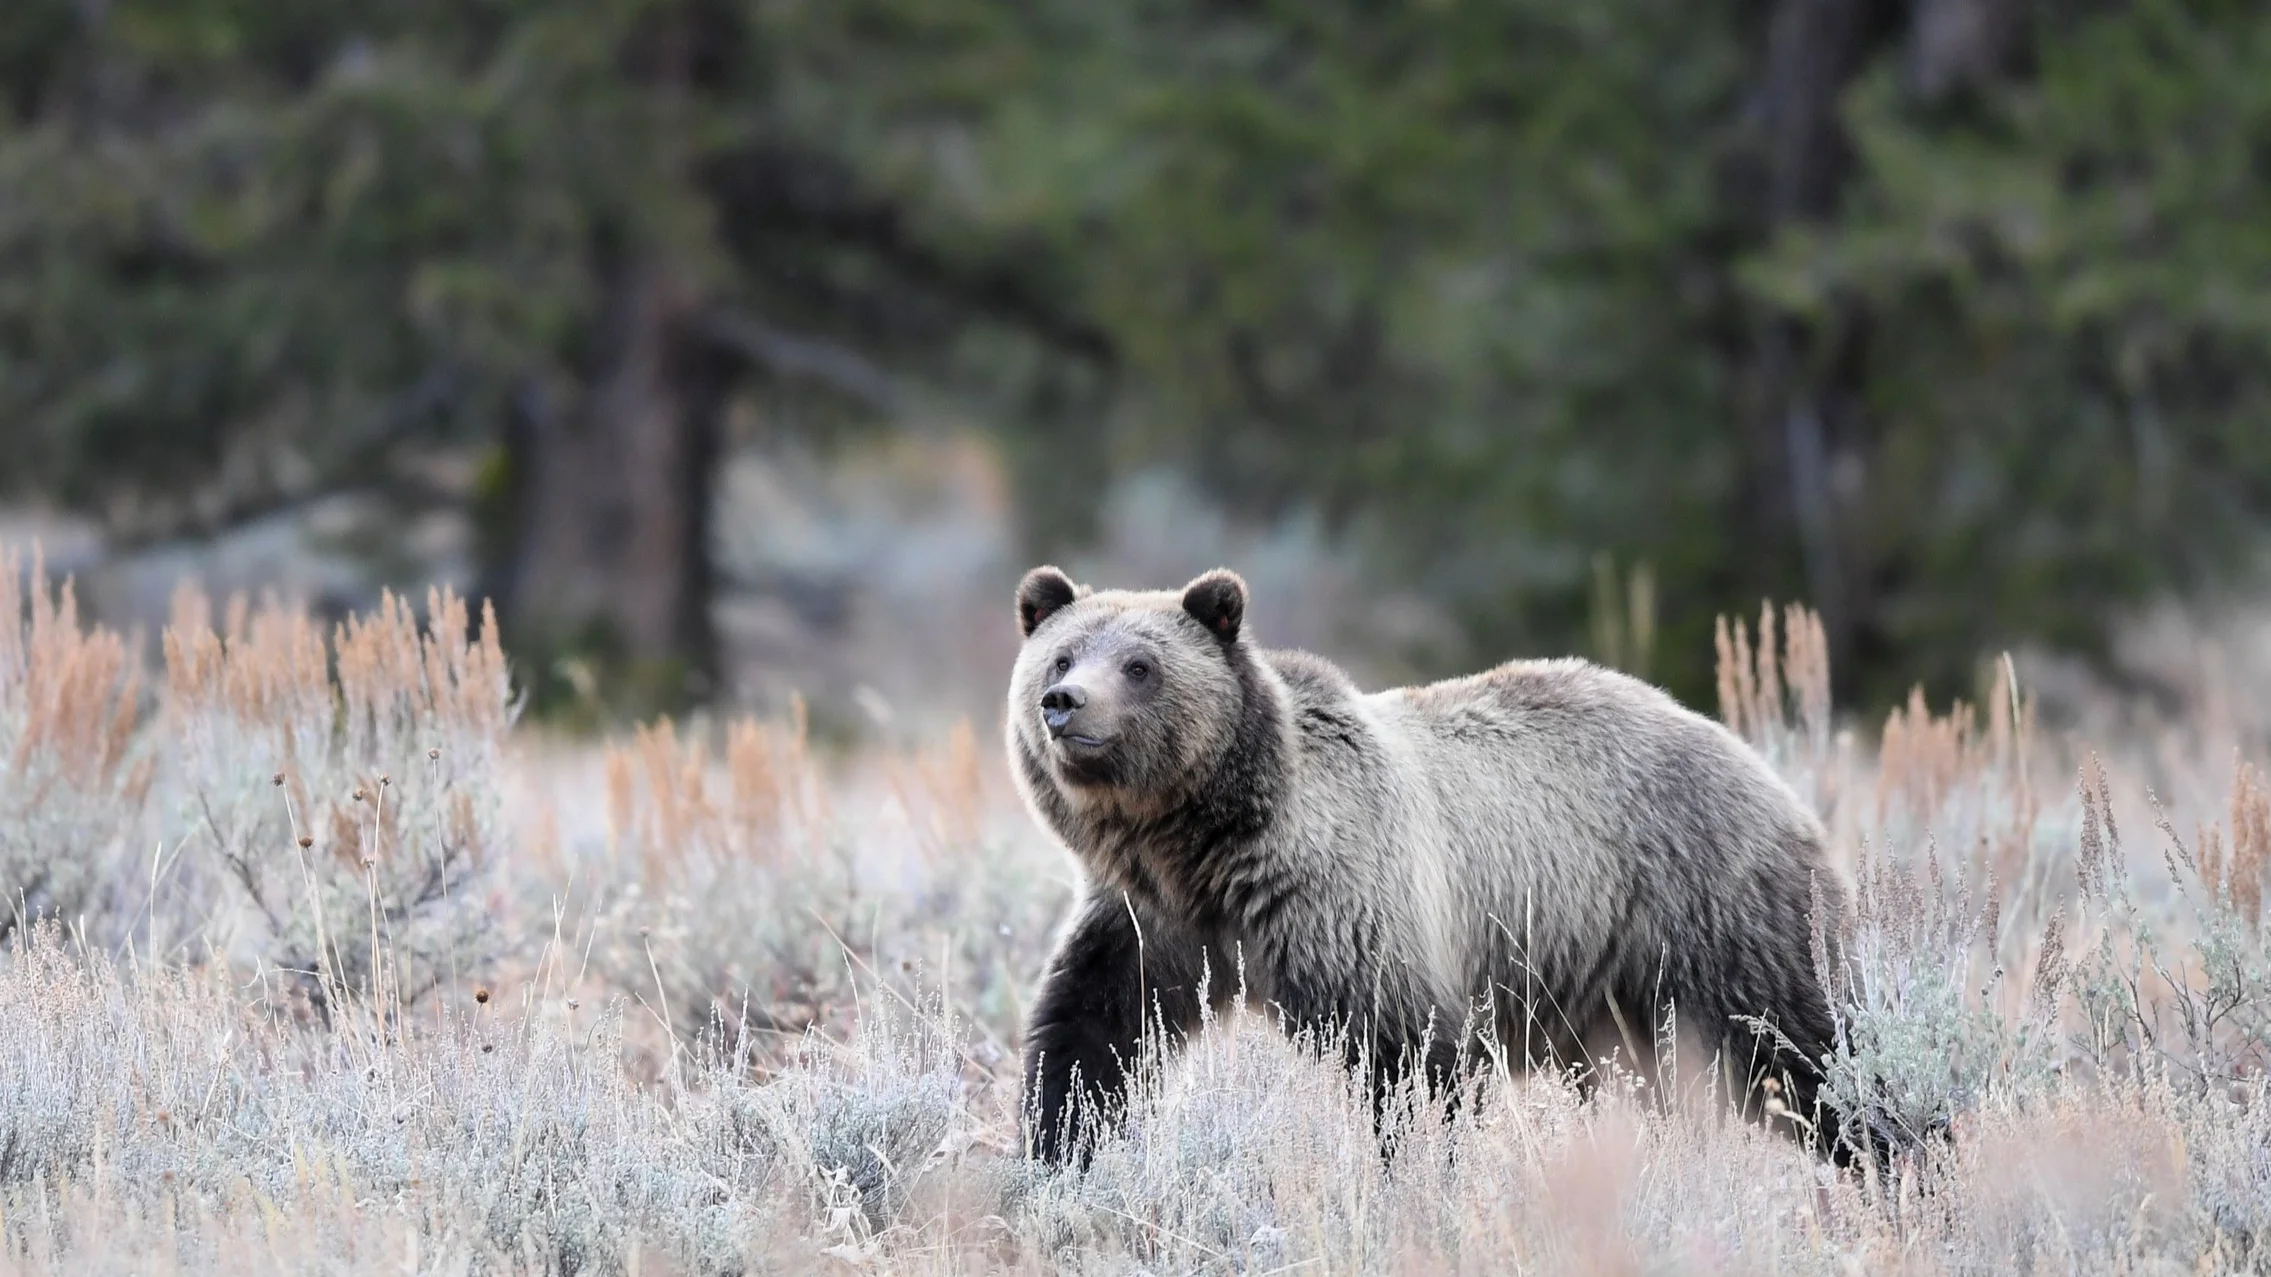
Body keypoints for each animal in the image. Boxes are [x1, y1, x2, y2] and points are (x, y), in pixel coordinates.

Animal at [1006, 565, 1854, 1165]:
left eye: (1140, 664)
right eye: (1061, 652)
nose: (1064, 701)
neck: (1201, 844)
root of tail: (1764, 770)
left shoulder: (1340, 899)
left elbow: (1408, 1056)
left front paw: (1414, 1175)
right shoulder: (1151, 920)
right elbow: (1088, 1036)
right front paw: (1057, 1151)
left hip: (1713, 907)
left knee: (1807, 1048)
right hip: (1607, 995)